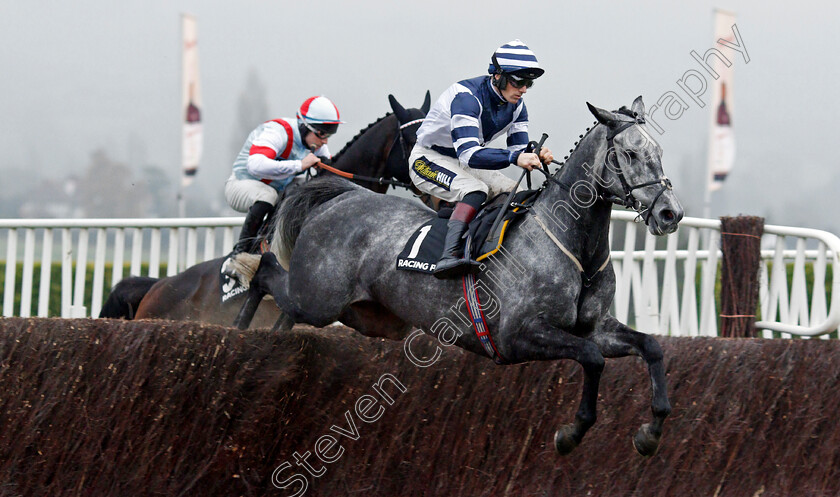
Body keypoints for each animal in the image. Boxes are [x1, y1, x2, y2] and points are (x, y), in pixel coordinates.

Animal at [235, 96, 684, 454]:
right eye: (629, 155)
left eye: (660, 151)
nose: (670, 213)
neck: (574, 246)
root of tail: (340, 198)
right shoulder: (519, 335)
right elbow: (591, 358)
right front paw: (571, 433)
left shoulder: (594, 327)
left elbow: (650, 347)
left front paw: (651, 431)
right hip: (317, 298)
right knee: (268, 274)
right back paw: (241, 315)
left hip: (368, 317)